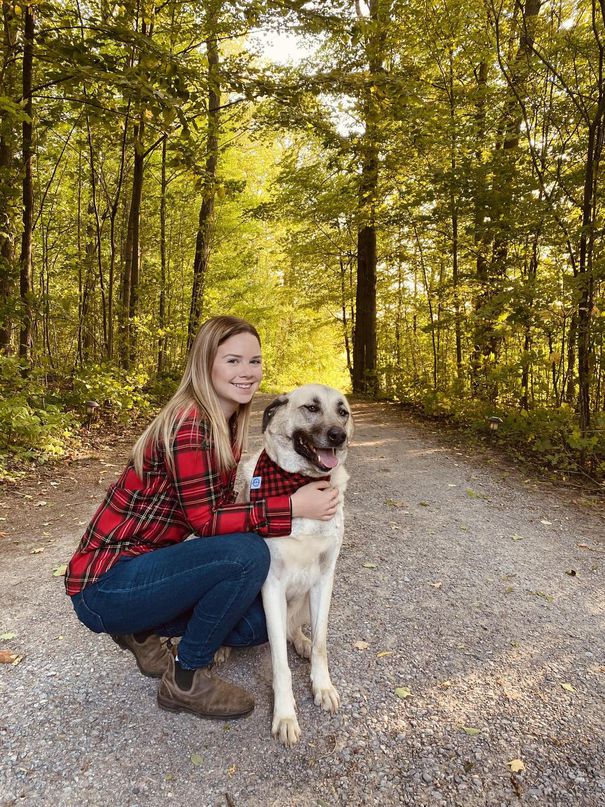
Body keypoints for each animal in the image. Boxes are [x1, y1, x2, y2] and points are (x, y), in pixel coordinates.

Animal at [238, 382, 352, 748]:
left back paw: (299, 640)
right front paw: (285, 715)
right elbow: (280, 664)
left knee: (295, 628)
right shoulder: (271, 586)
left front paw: (322, 685)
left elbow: (320, 643)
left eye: (343, 411)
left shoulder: (324, 578)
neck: (300, 485)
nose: (339, 435)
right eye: (311, 408)